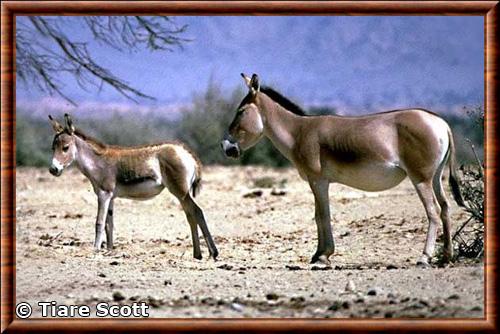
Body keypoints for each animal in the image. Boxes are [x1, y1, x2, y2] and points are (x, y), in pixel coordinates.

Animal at [47, 113, 218, 260]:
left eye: (65, 147)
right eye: (53, 147)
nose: (53, 170)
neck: (97, 161)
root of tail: (187, 153)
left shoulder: (103, 194)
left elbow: (99, 223)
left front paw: (95, 250)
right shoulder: (111, 197)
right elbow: (109, 225)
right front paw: (109, 250)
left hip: (180, 192)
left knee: (197, 212)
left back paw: (212, 253)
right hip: (182, 193)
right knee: (191, 215)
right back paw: (198, 254)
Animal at [223, 73, 464, 266]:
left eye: (241, 111)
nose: (226, 148)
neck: (298, 133)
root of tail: (441, 123)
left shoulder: (317, 180)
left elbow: (322, 215)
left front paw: (322, 256)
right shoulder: (319, 182)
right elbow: (319, 215)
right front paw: (319, 254)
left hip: (420, 178)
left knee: (432, 211)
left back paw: (424, 257)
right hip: (435, 177)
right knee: (445, 208)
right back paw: (446, 256)